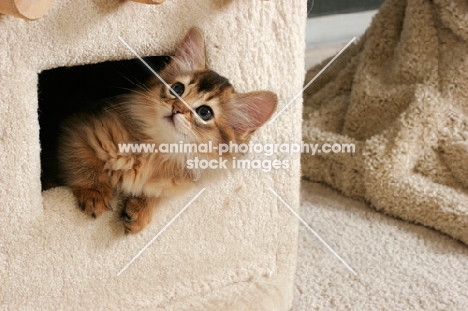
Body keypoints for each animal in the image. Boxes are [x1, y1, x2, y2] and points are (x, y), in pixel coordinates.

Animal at [58, 27, 278, 234]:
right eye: (177, 89)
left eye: (204, 112)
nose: (176, 108)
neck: (157, 151)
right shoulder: (78, 128)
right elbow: (85, 163)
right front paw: (95, 192)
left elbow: (158, 195)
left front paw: (142, 210)